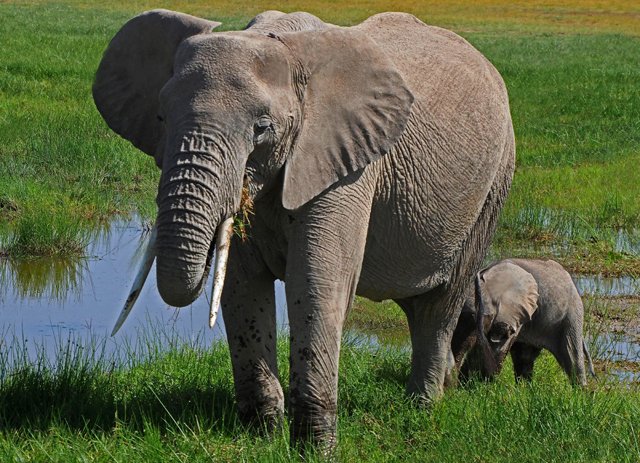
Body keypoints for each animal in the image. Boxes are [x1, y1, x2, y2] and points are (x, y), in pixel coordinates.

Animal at [93, 9, 515, 449]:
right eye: (160, 117)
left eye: (262, 127)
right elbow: (243, 284)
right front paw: (262, 435)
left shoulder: (345, 162)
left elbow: (314, 281)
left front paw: (314, 447)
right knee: (417, 305)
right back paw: (444, 386)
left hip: (494, 183)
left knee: (440, 304)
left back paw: (422, 409)